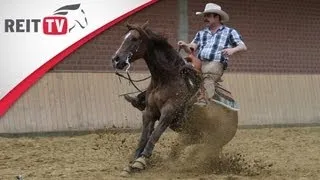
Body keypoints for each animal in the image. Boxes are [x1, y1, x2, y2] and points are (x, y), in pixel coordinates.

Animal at [111, 21, 239, 175]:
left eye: (134, 39)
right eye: (124, 38)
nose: (116, 59)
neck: (167, 78)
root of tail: (236, 117)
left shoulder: (169, 112)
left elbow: (154, 135)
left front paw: (140, 161)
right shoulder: (149, 112)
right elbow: (143, 138)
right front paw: (132, 163)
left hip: (212, 140)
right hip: (190, 135)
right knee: (177, 149)